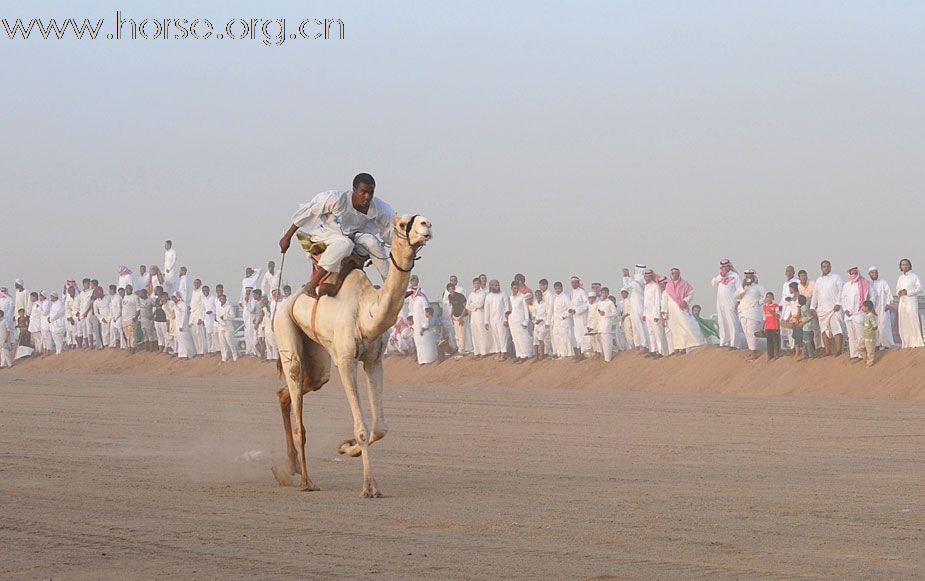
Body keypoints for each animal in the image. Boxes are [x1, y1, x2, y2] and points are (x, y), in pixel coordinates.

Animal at [274, 215, 434, 496]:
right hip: (285, 333)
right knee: (298, 416)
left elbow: (380, 428)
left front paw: (346, 448)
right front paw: (370, 486)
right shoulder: (345, 360)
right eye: (403, 223)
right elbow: (361, 428)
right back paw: (306, 482)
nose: (426, 224)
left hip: (318, 358)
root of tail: (285, 303)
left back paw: (290, 468)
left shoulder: (374, 360)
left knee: (291, 391)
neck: (365, 312)